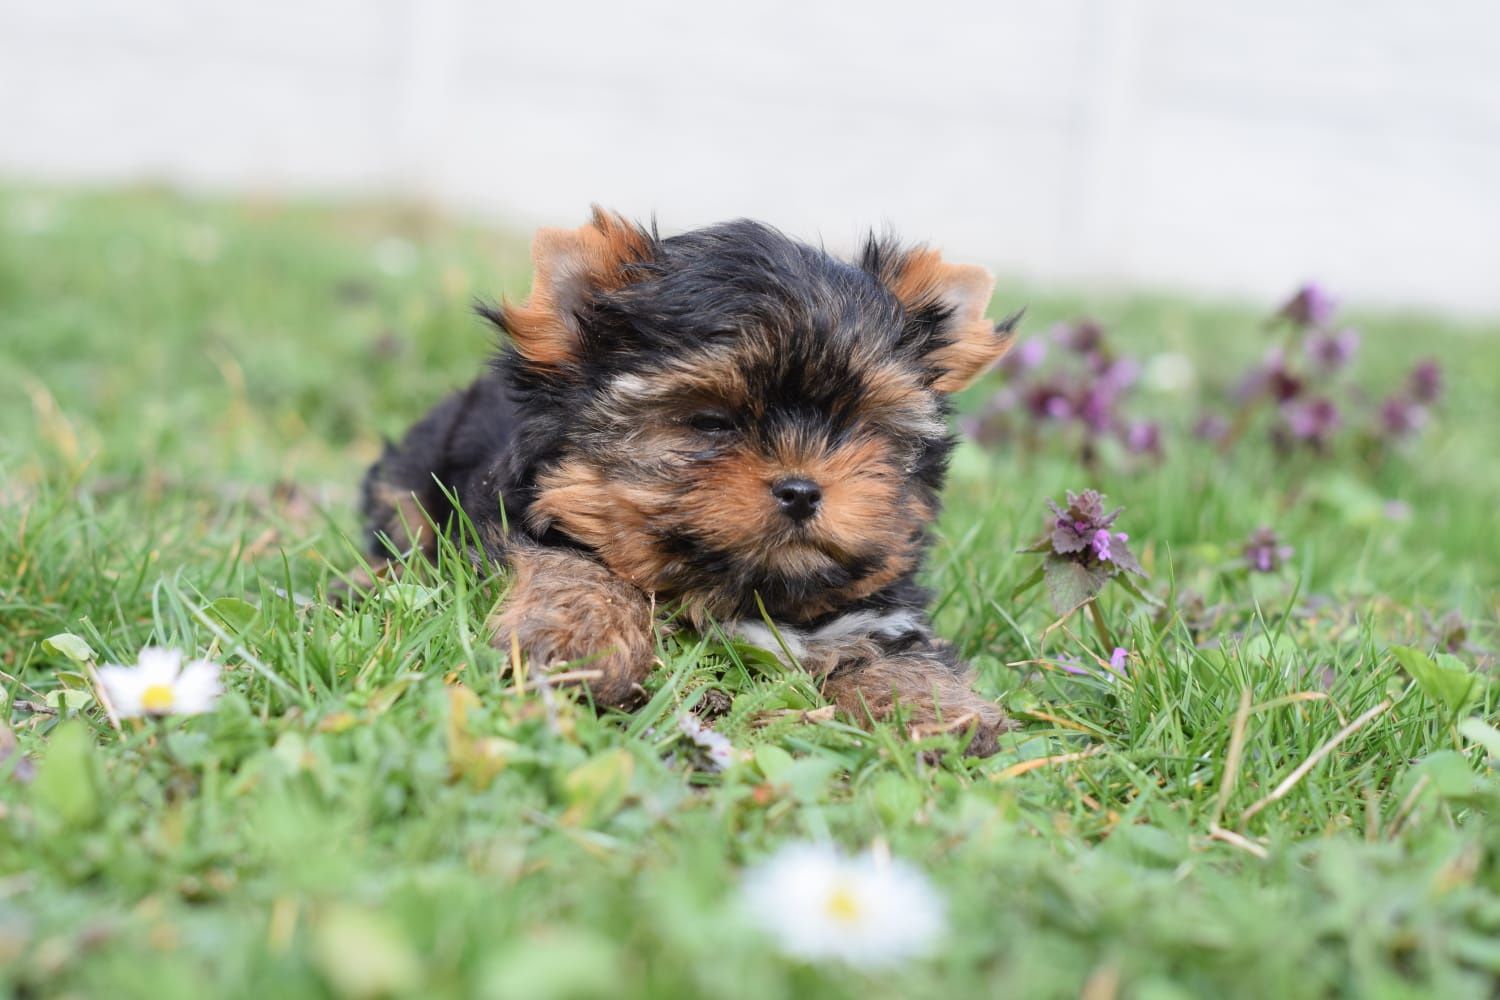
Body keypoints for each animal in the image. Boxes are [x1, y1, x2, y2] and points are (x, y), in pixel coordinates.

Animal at [360, 212, 1020, 758]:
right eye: (710, 422)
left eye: (857, 425)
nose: (802, 490)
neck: (741, 590)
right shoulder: (514, 519)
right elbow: (576, 565)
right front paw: (585, 638)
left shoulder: (875, 608)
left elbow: (894, 641)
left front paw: (931, 706)